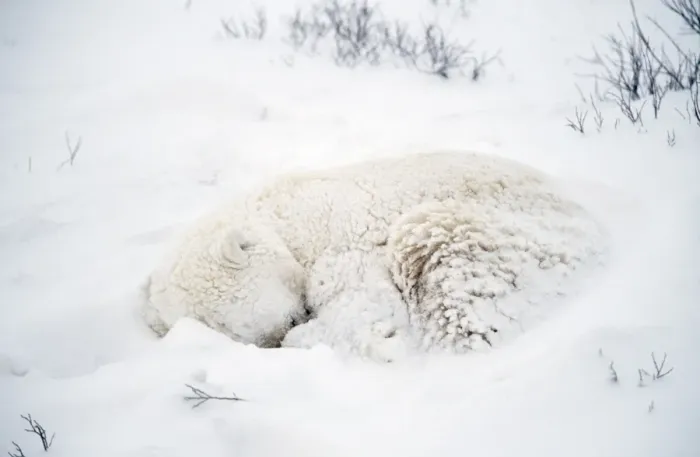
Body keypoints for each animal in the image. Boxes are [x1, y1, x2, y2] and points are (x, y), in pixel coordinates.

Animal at [140, 150, 606, 354]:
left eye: (275, 319)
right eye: (244, 336)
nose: (291, 325)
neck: (284, 216)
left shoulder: (340, 241)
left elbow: (364, 310)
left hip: (520, 238)